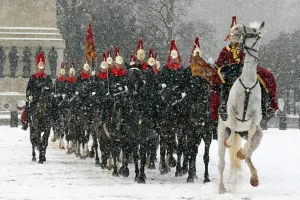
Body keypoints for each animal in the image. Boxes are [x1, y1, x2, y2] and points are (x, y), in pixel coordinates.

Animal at [218, 21, 264, 194]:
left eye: (254, 30)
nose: (235, 28)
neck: (248, 84)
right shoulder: (231, 110)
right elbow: (232, 124)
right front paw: (231, 143)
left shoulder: (255, 118)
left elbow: (249, 139)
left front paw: (241, 152)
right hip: (220, 134)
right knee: (221, 164)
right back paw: (221, 188)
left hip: (258, 136)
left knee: (249, 154)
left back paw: (254, 177)